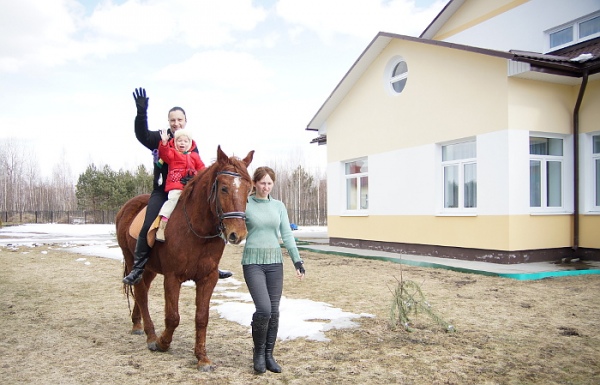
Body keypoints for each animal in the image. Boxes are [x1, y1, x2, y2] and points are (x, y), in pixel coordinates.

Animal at [115, 146, 253, 370]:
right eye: (224, 188)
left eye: (248, 190)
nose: (237, 234)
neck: (197, 230)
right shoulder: (172, 277)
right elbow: (173, 317)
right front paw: (162, 343)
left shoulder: (208, 278)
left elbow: (202, 317)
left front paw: (202, 358)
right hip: (131, 259)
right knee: (141, 292)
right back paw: (151, 336)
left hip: (150, 268)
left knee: (143, 290)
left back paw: (137, 323)